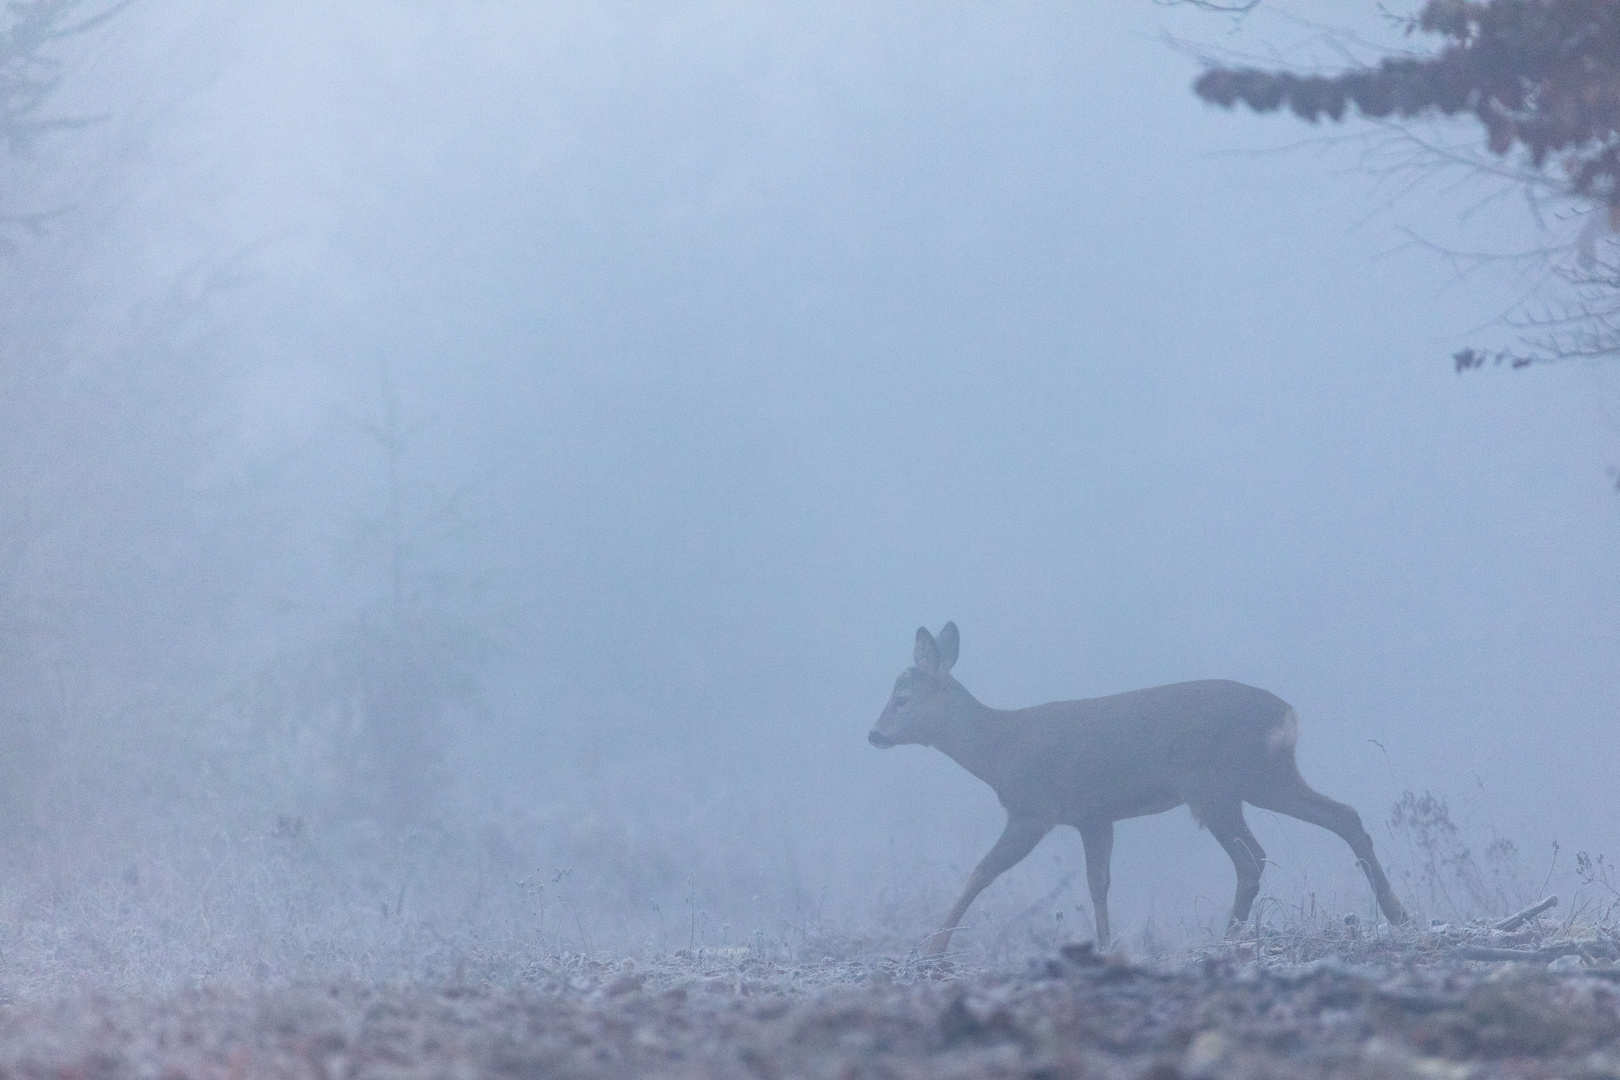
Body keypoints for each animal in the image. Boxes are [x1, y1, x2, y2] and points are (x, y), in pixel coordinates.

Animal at [874, 625, 1406, 952]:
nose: (873, 735)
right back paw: (1397, 913)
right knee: (1343, 815)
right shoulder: (1094, 817)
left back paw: (1228, 938)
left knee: (1252, 857)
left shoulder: (1034, 809)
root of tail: (1287, 715)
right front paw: (1105, 944)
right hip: (1265, 778)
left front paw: (934, 946)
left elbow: (981, 872)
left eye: (901, 699)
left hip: (1213, 785)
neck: (997, 749)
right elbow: (1099, 884)